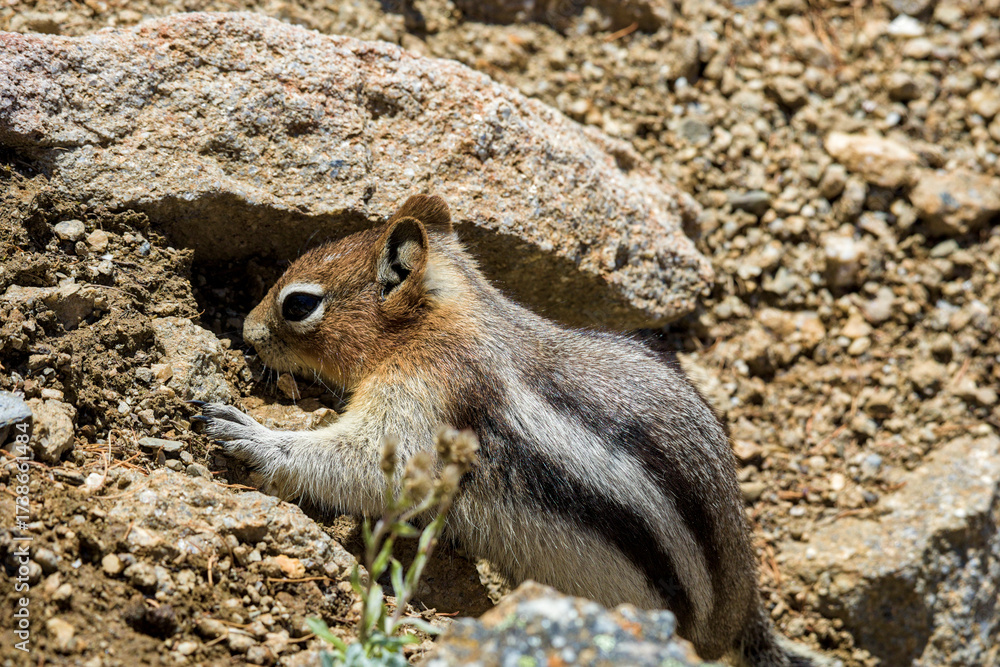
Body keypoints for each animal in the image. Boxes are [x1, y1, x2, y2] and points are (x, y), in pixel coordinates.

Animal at [194, 195, 822, 667]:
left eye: (298, 305)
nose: (247, 330)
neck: (442, 319)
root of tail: (739, 610)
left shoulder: (427, 397)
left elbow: (371, 466)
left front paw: (247, 432)